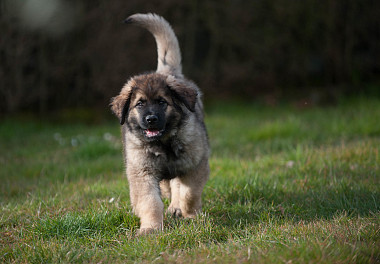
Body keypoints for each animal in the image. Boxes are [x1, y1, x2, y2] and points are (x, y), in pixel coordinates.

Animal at [110, 13, 211, 234]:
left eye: (162, 102)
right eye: (140, 104)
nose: (151, 119)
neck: (163, 143)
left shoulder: (195, 164)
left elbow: (189, 193)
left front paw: (190, 214)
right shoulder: (143, 173)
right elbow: (150, 202)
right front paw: (151, 228)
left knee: (178, 187)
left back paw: (177, 208)